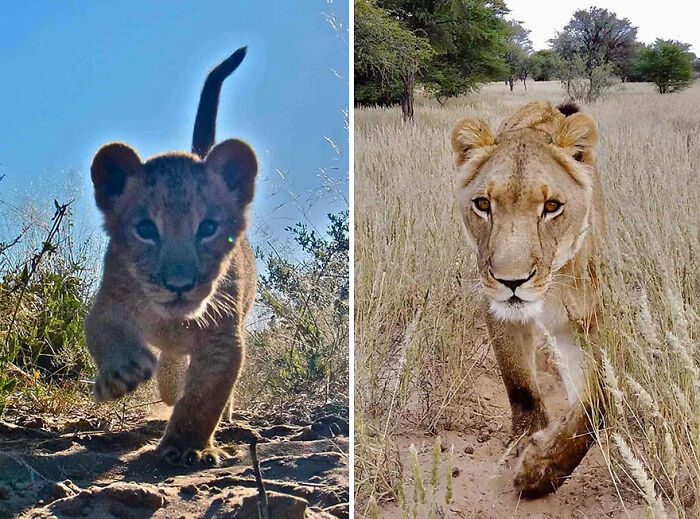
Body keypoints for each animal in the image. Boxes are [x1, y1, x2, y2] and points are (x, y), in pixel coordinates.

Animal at [84, 47, 257, 466]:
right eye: (146, 230)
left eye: (208, 228)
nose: (179, 285)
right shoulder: (110, 300)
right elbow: (101, 331)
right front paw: (122, 373)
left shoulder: (223, 340)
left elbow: (204, 398)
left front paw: (186, 446)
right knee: (169, 372)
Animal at [450, 101, 605, 497]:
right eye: (483, 204)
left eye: (551, 206)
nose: (512, 281)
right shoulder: (497, 308)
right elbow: (518, 382)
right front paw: (527, 444)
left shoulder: (584, 321)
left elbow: (596, 404)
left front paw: (542, 470)